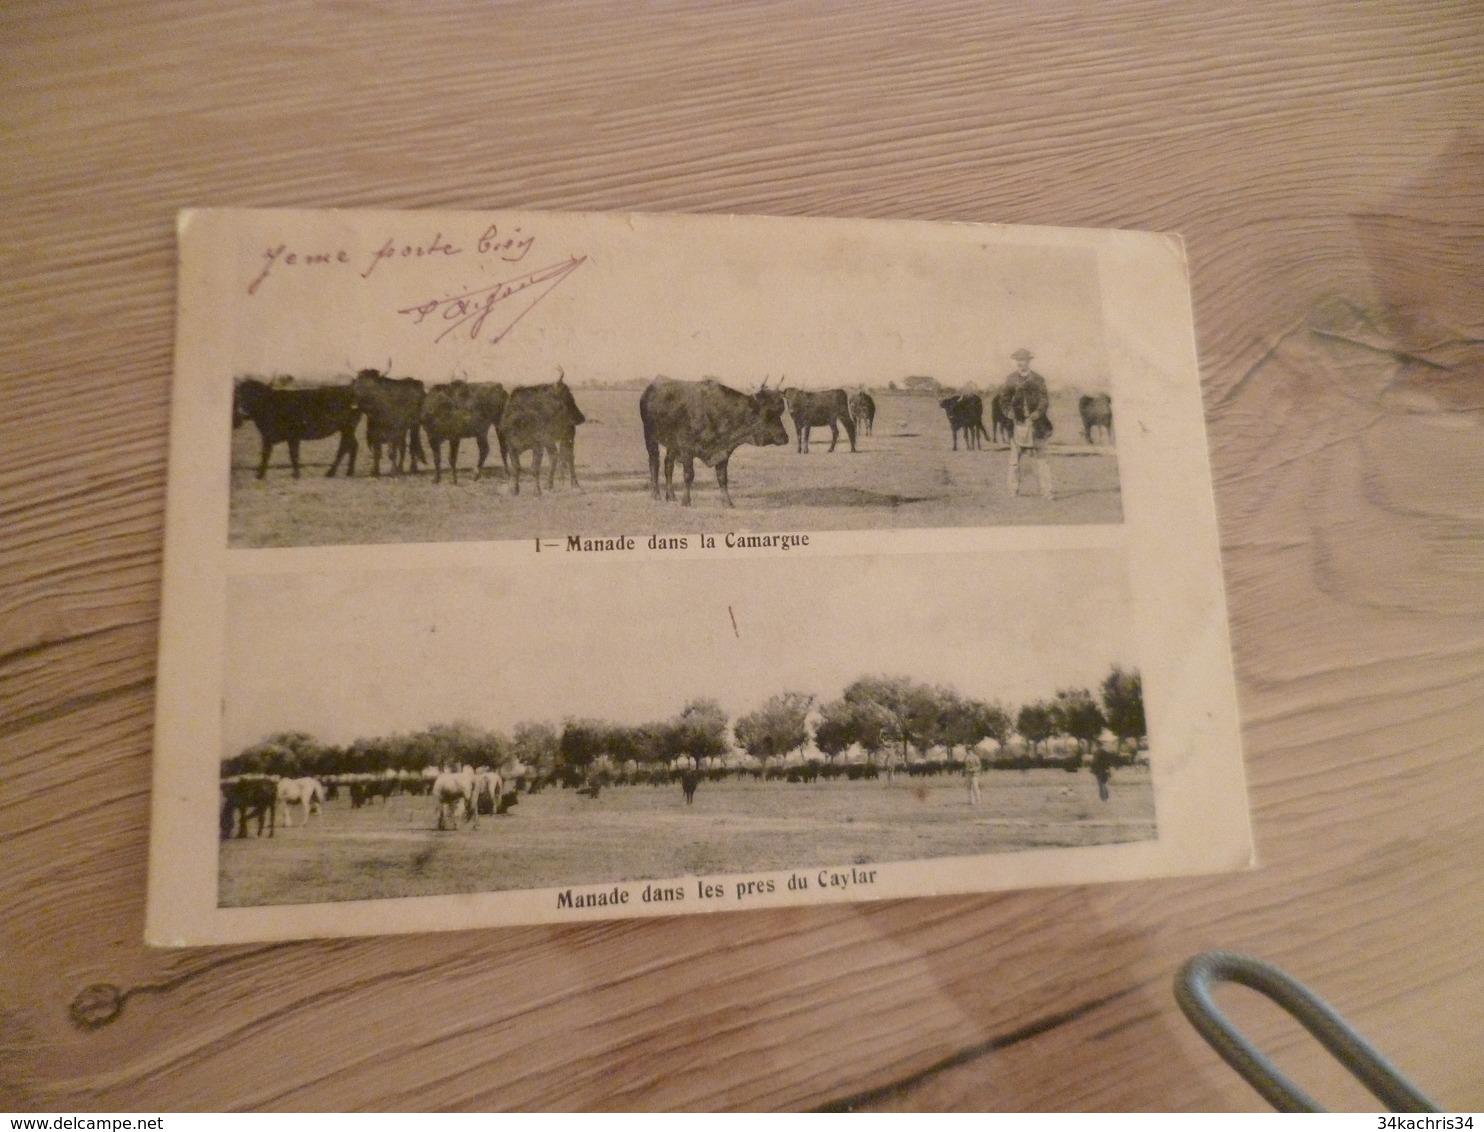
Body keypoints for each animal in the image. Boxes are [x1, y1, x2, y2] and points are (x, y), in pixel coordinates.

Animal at [644, 378, 795, 507]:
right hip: (650, 437)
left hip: (672, 445)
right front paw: (686, 501)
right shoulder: (687, 449)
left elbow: (722, 478)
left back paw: (671, 496)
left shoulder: (723, 451)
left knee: (668, 465)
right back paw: (655, 494)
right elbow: (689, 475)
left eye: (780, 412)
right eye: (767, 413)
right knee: (654, 462)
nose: (784, 437)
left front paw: (728, 503)